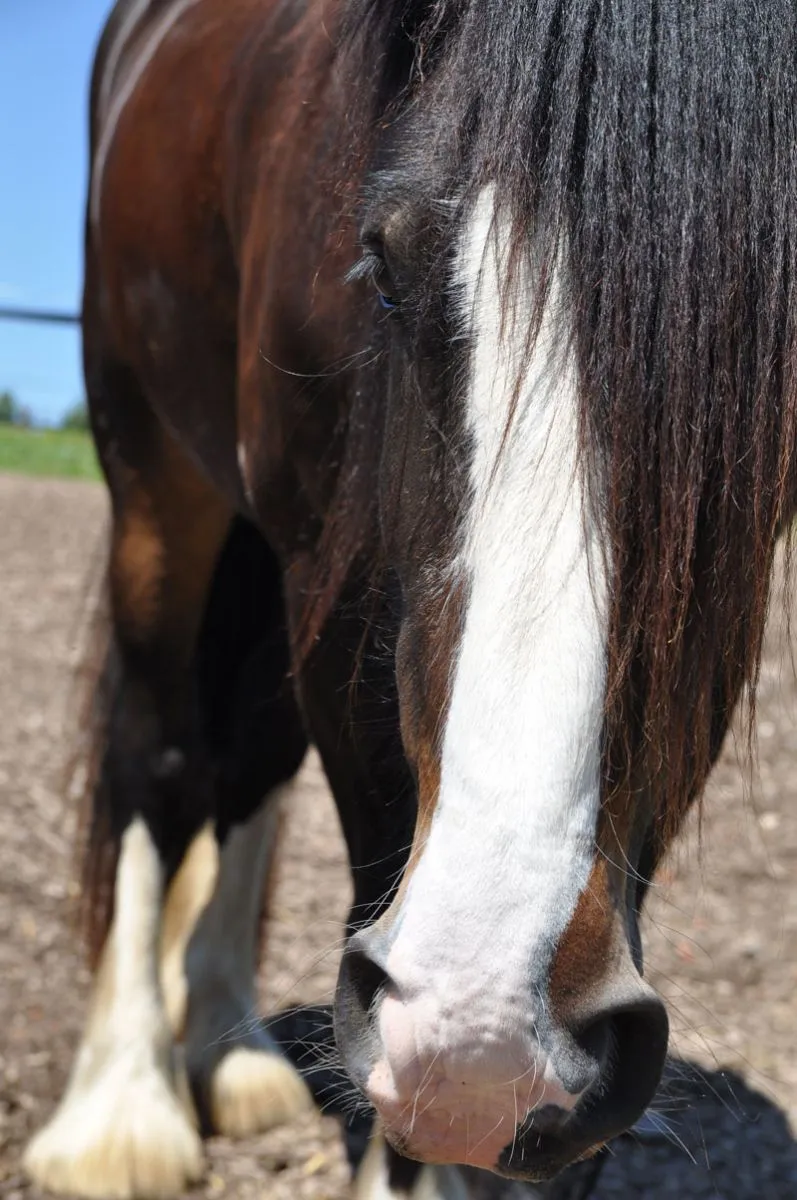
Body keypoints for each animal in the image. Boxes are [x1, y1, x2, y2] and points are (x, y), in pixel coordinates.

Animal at [21, 0, 797, 1195]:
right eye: (381, 268)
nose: (483, 1037)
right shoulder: (335, 603)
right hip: (156, 475)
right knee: (158, 751)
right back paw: (122, 1107)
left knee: (249, 757)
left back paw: (232, 1052)